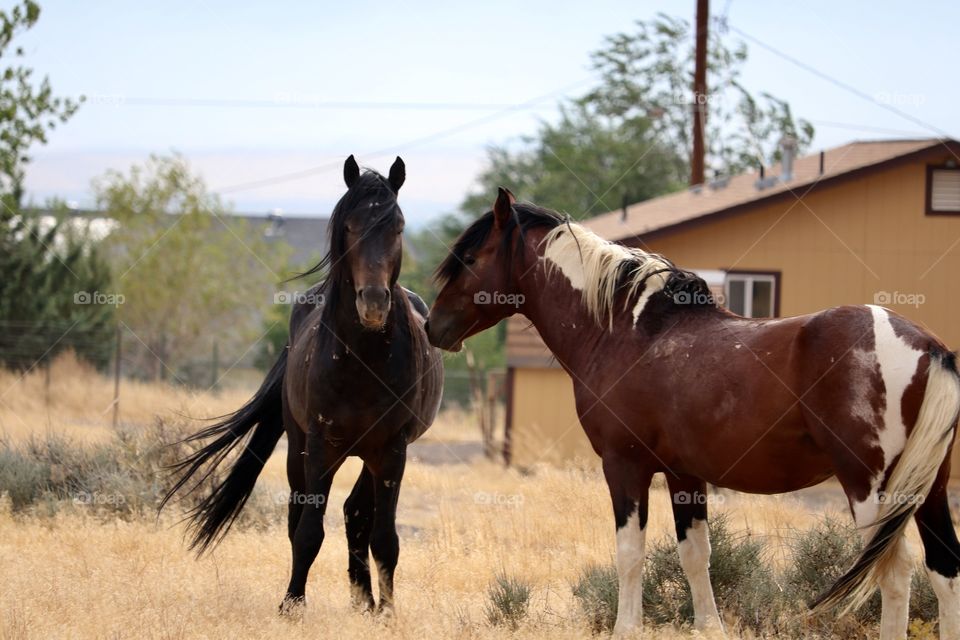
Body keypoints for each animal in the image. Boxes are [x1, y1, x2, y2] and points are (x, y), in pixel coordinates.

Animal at [161, 155, 443, 615]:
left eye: (398, 226)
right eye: (351, 226)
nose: (373, 302)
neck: (364, 359)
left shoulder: (393, 449)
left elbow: (385, 537)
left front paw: (386, 612)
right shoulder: (321, 443)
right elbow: (309, 530)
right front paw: (292, 605)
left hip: (369, 454)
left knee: (356, 513)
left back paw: (364, 600)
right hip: (300, 447)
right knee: (302, 516)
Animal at [425, 187, 960, 640]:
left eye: (469, 258)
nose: (433, 326)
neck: (627, 331)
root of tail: (927, 345)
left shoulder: (624, 467)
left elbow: (630, 554)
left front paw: (626, 629)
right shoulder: (686, 476)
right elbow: (696, 556)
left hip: (871, 489)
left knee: (895, 573)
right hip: (928, 489)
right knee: (944, 570)